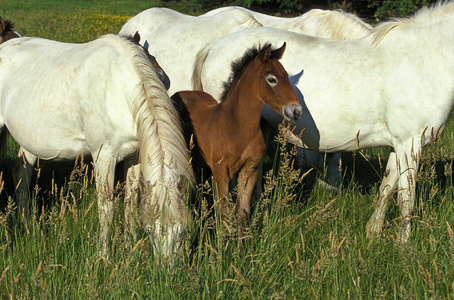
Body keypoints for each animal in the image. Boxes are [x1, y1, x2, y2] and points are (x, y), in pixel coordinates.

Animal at [0, 33, 193, 262]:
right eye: (150, 229)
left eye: (181, 230)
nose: (166, 268)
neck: (119, 90)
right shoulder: (104, 157)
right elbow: (106, 209)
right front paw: (104, 257)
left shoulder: (135, 157)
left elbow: (130, 202)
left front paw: (129, 250)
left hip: (30, 140)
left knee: (21, 176)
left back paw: (29, 228)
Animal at [170, 43, 302, 247]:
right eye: (272, 79)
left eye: (287, 75)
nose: (296, 111)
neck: (237, 127)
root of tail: (179, 93)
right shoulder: (221, 172)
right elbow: (224, 212)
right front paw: (222, 249)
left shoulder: (249, 171)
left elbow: (243, 213)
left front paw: (241, 250)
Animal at [193, 0, 454, 244]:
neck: (419, 60)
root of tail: (213, 47)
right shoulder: (410, 143)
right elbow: (406, 197)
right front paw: (404, 246)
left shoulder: (400, 144)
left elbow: (388, 186)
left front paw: (373, 233)